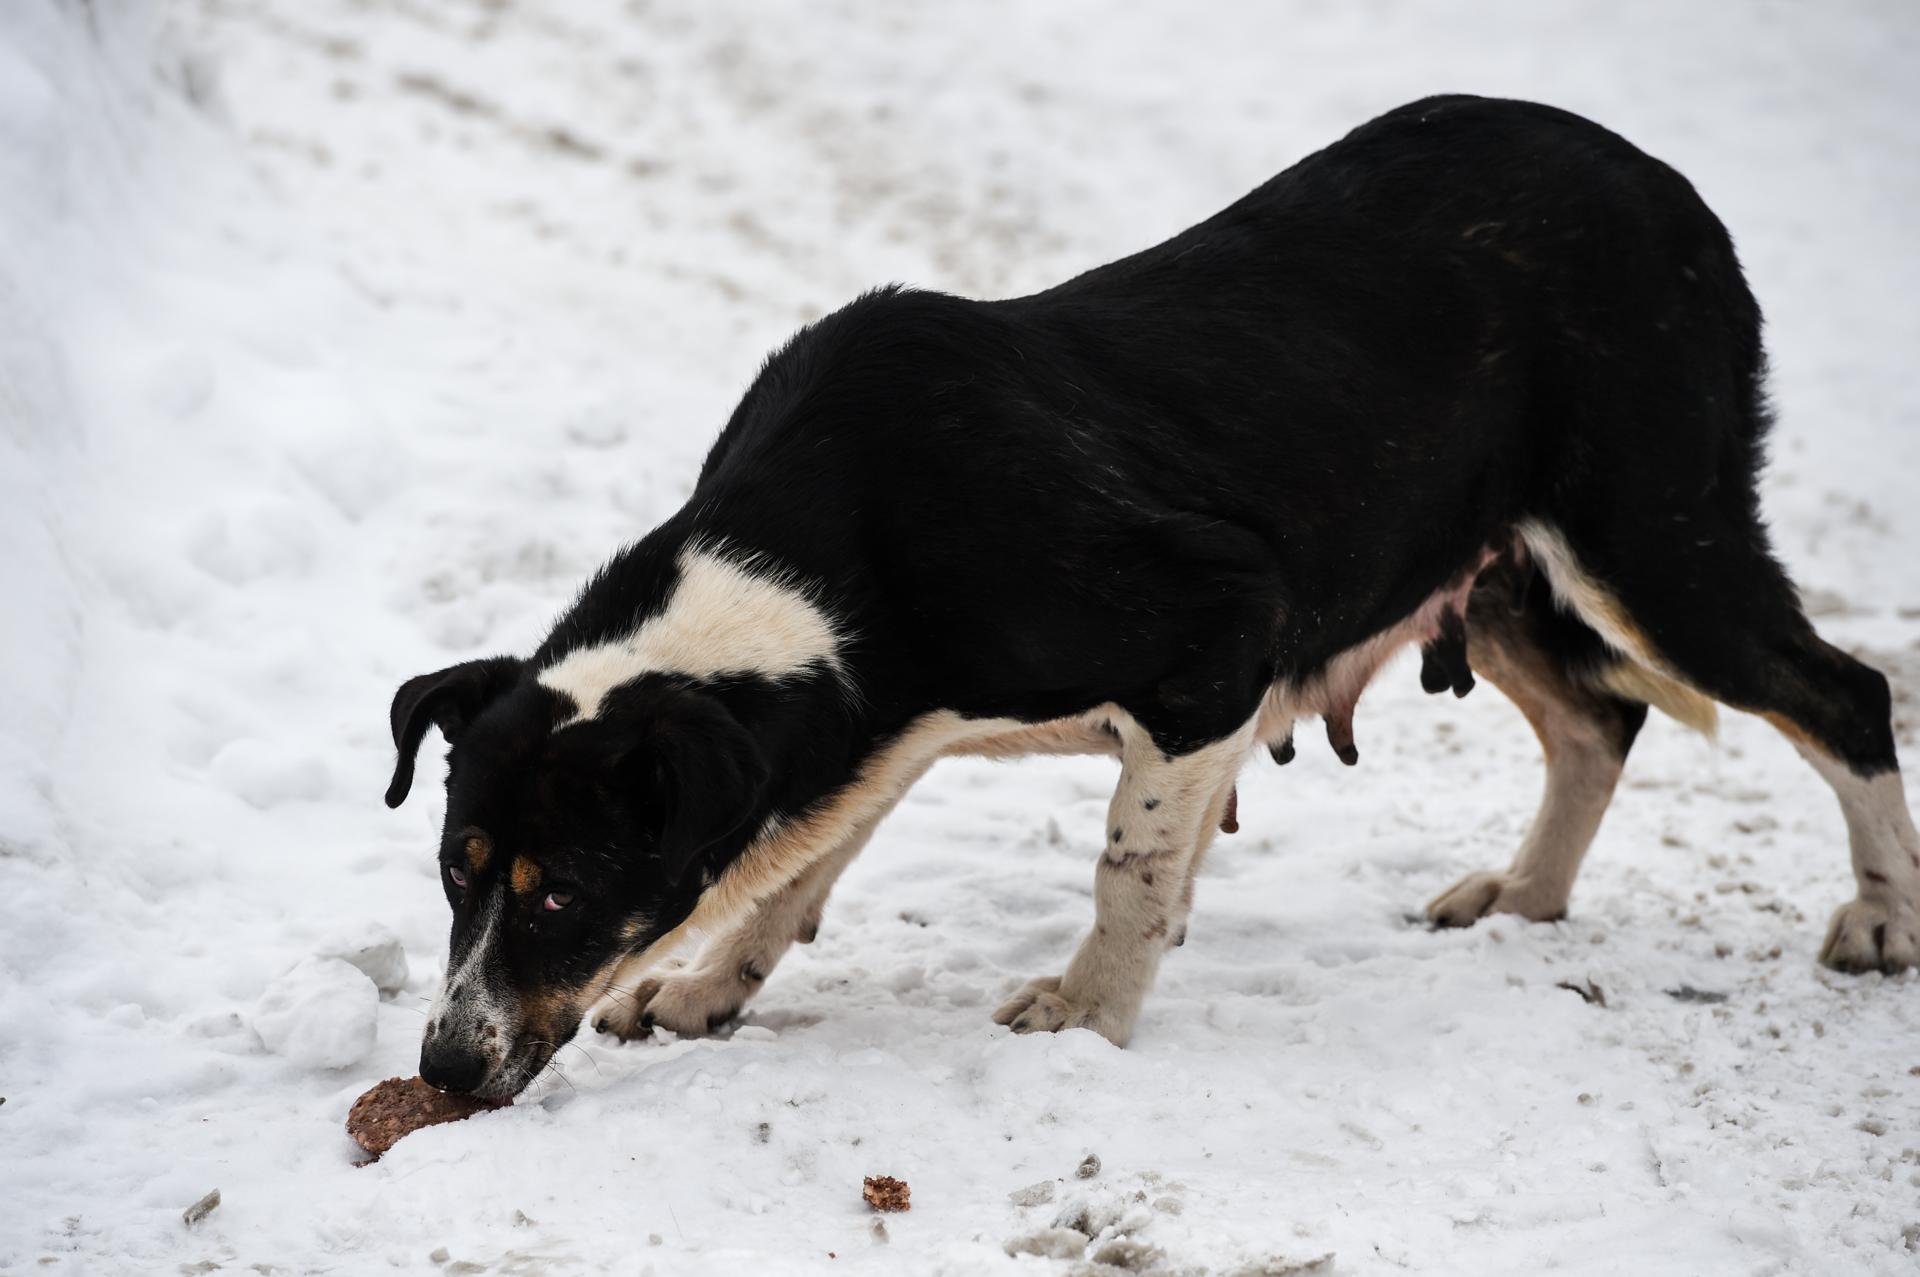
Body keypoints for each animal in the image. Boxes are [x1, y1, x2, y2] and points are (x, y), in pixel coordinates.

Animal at [382, 96, 1912, 1098]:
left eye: (564, 892)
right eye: (455, 870)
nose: (444, 1069)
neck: (844, 549)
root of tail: (1672, 191)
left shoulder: (1216, 632)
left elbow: (1129, 868)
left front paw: (1086, 1017)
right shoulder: (884, 728)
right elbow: (803, 863)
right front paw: (708, 987)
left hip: (1653, 535)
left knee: (1844, 691)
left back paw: (1884, 921)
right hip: (1486, 566)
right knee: (1602, 721)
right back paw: (1525, 902)